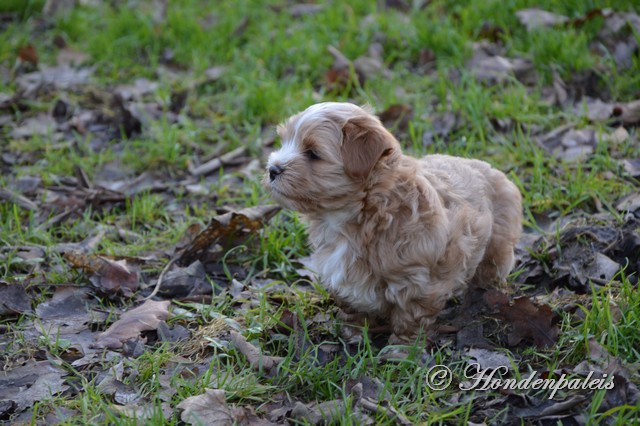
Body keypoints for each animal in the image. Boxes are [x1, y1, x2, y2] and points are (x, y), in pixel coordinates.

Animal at [262, 103, 524, 342]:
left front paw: (401, 349)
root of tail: (485, 166)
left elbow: (410, 317)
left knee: (493, 269)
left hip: (498, 244)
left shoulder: (416, 280)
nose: (273, 169)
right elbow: (353, 306)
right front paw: (354, 333)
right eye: (284, 141)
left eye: (313, 153)